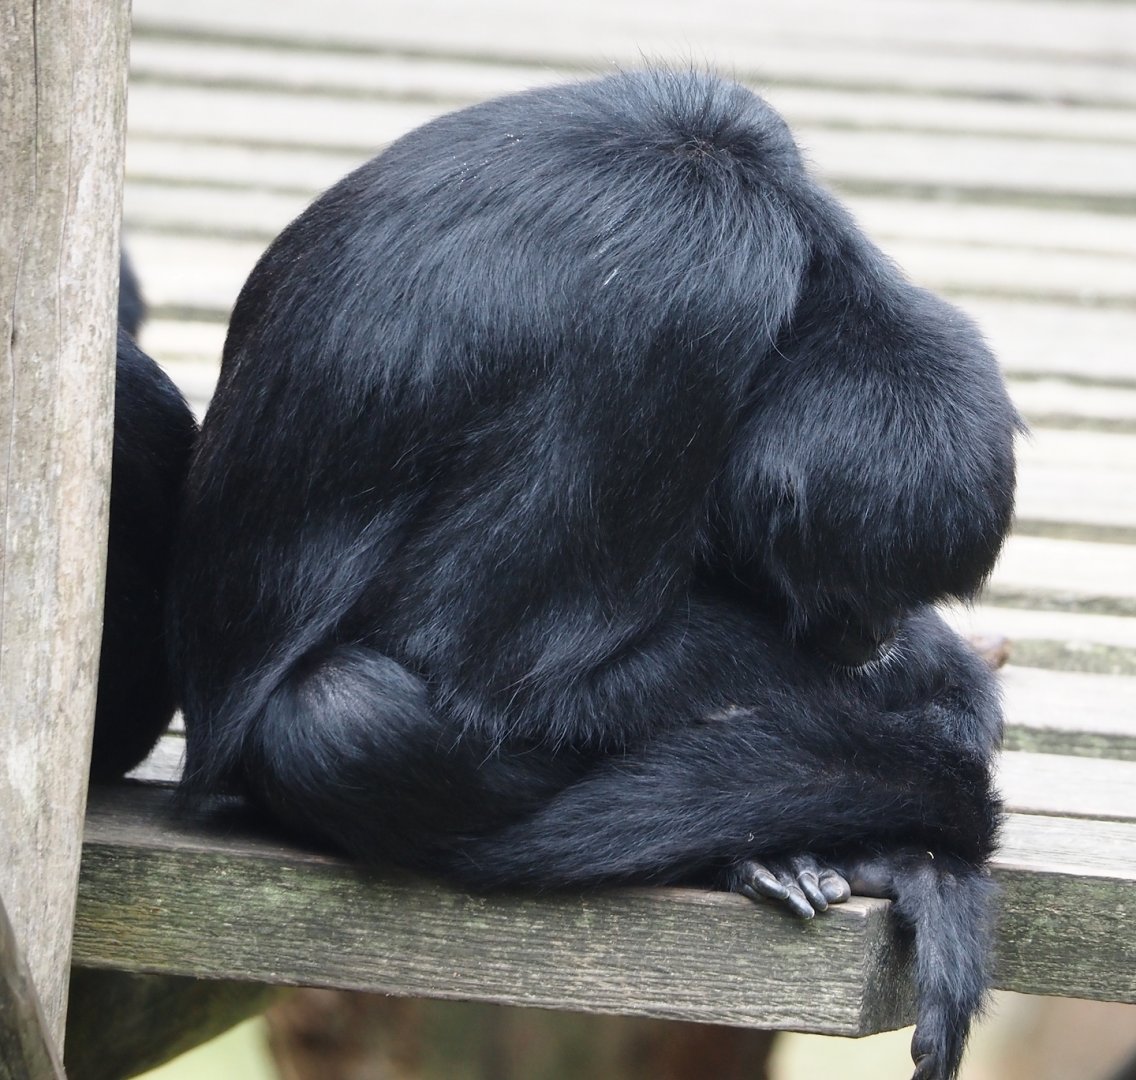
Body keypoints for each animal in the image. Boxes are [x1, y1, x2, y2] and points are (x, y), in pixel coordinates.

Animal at [168, 70, 1019, 1079]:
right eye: (865, 592)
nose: (875, 636)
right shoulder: (686, 292)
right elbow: (501, 670)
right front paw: (939, 676)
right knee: (344, 713)